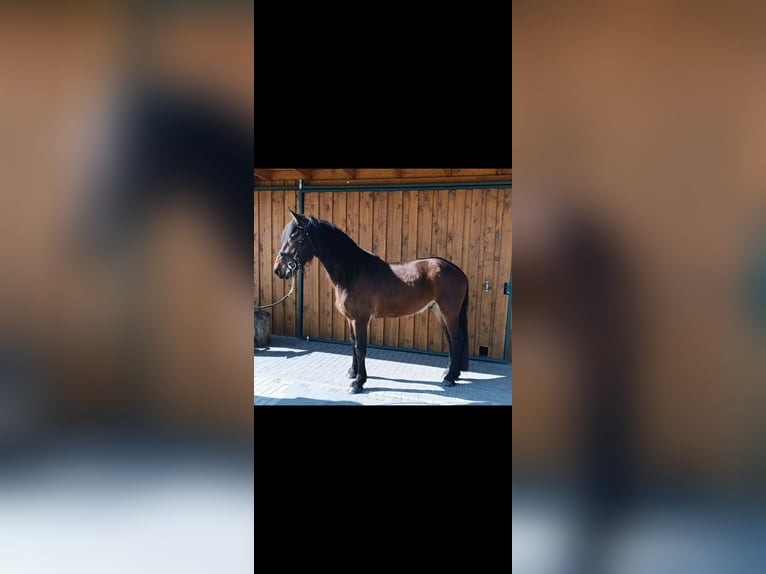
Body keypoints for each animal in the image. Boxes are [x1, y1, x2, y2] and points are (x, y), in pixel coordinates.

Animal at [274, 209, 470, 394]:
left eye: (296, 237)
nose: (278, 270)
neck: (352, 271)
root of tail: (458, 271)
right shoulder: (350, 319)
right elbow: (352, 343)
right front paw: (353, 372)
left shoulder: (360, 319)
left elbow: (360, 348)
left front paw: (358, 383)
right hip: (438, 311)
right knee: (450, 340)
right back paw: (449, 373)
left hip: (448, 312)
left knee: (456, 339)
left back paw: (450, 378)